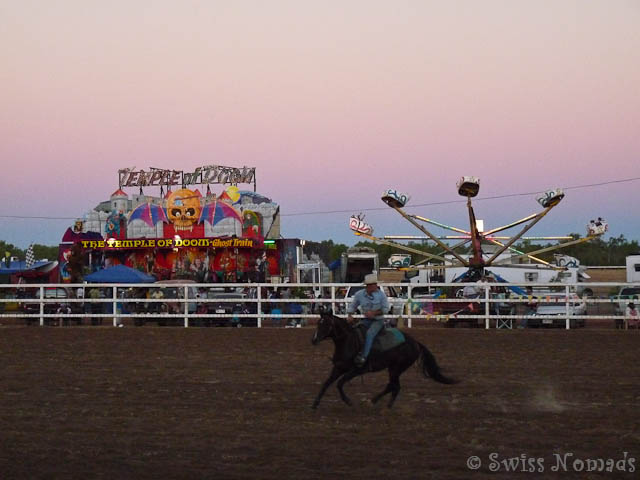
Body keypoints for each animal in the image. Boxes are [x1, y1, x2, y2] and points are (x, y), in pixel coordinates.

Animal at [310, 308, 456, 408]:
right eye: (318, 323)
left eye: (327, 324)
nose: (314, 340)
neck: (348, 342)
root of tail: (415, 343)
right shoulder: (338, 368)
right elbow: (326, 383)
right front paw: (315, 404)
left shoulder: (358, 370)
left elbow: (339, 383)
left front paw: (348, 401)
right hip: (393, 368)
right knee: (393, 386)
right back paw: (379, 403)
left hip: (397, 368)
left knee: (394, 386)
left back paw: (379, 404)